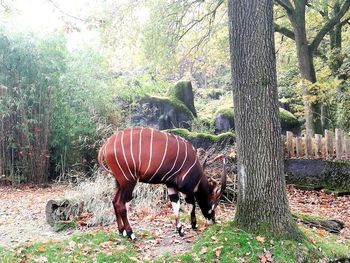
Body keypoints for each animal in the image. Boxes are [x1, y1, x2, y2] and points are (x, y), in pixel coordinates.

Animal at [98, 128, 227, 241]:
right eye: (212, 204)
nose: (213, 220)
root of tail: (106, 144)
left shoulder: (171, 186)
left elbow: (176, 206)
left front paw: (180, 230)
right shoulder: (187, 189)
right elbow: (191, 205)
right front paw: (194, 226)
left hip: (119, 182)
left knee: (114, 201)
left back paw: (121, 231)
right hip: (128, 180)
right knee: (121, 204)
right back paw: (131, 234)